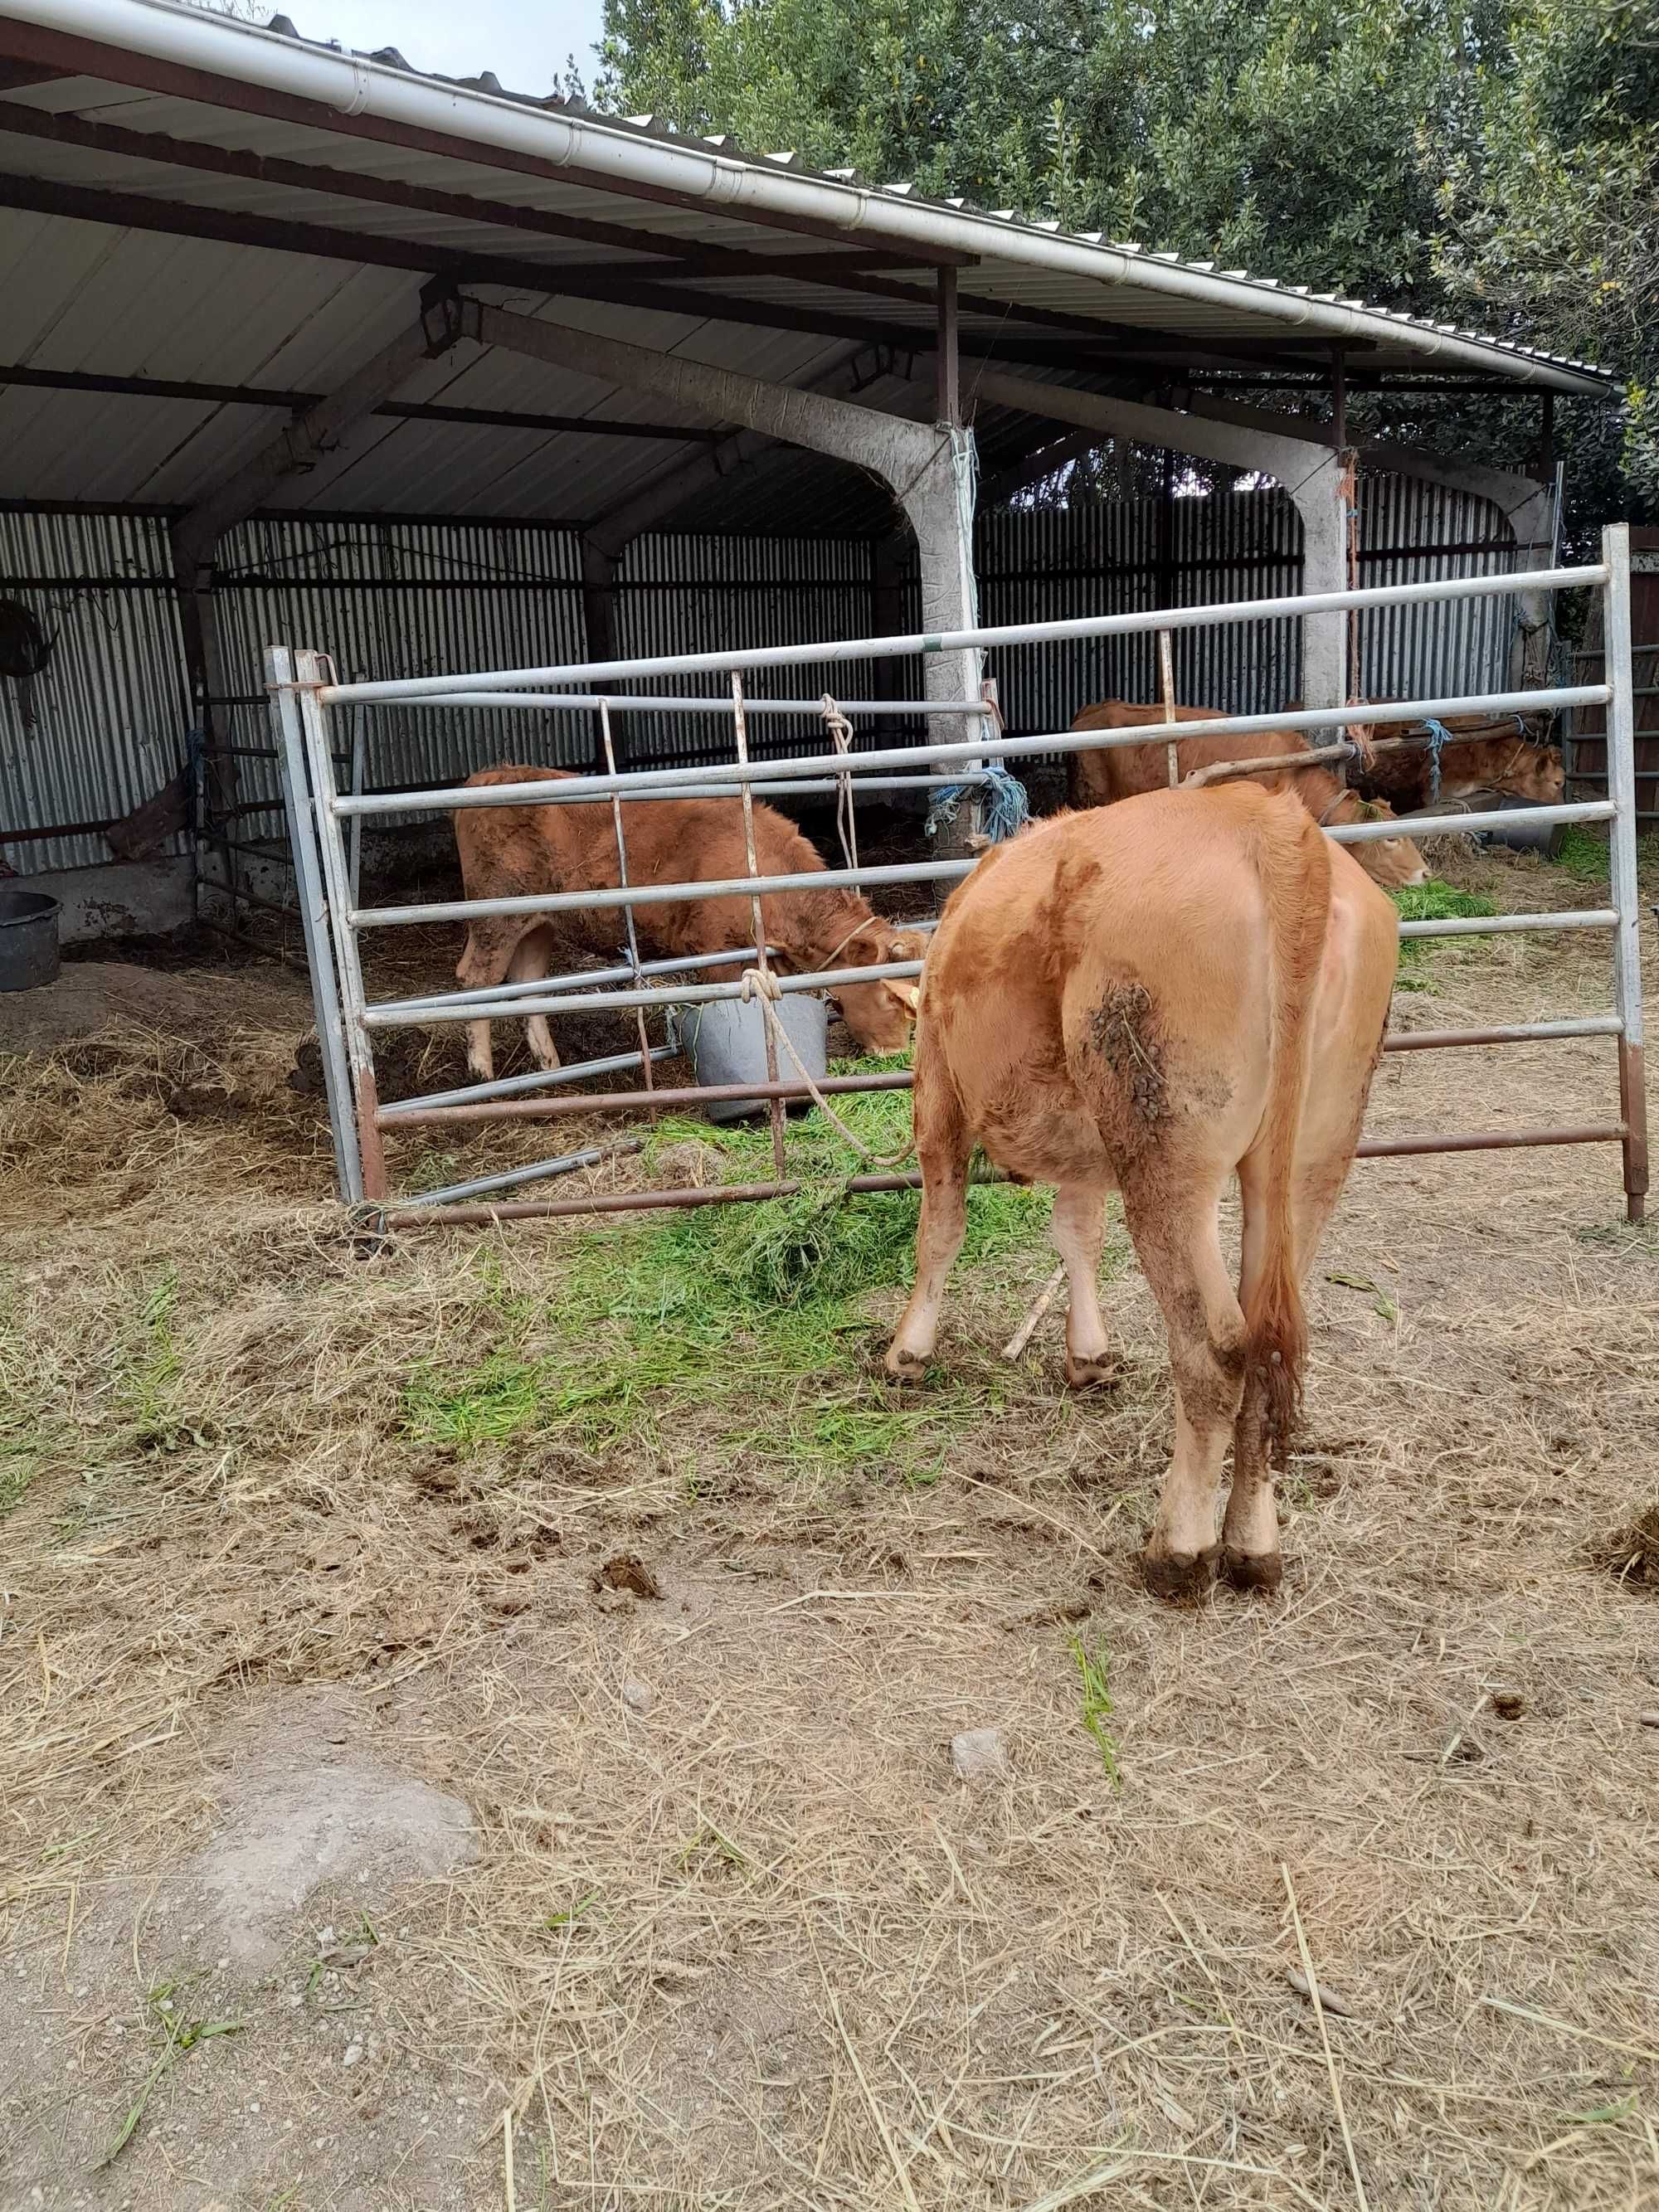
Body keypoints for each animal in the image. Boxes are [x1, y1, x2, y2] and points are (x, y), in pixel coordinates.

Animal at [451, 765, 937, 1083]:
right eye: (891, 998)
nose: (895, 1053)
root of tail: (488, 776)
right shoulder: (716, 951)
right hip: (496, 914)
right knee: (475, 978)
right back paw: (481, 1071)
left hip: (539, 924)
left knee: (527, 985)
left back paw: (548, 1064)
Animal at [889, 787, 1398, 1601]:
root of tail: (1271, 820)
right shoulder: (1087, 1141)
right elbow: (1078, 1234)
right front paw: (1089, 1354)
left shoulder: (937, 1083)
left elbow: (941, 1228)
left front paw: (908, 1350)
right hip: (1316, 1150)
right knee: (1269, 1345)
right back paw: (1254, 1547)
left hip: (1165, 1148)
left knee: (1215, 1348)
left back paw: (1178, 1550)